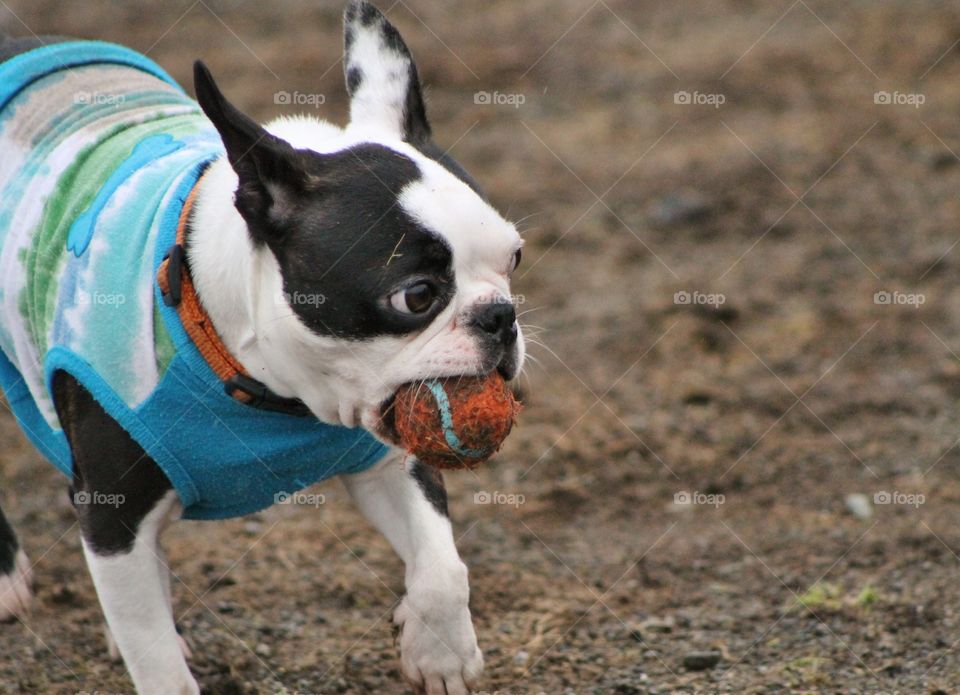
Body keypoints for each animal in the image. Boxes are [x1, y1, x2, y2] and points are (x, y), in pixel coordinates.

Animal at [0, 2, 524, 692]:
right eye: (416, 296)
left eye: (515, 258)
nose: (502, 317)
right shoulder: (114, 515)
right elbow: (158, 663)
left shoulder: (389, 461)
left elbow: (443, 564)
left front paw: (440, 650)